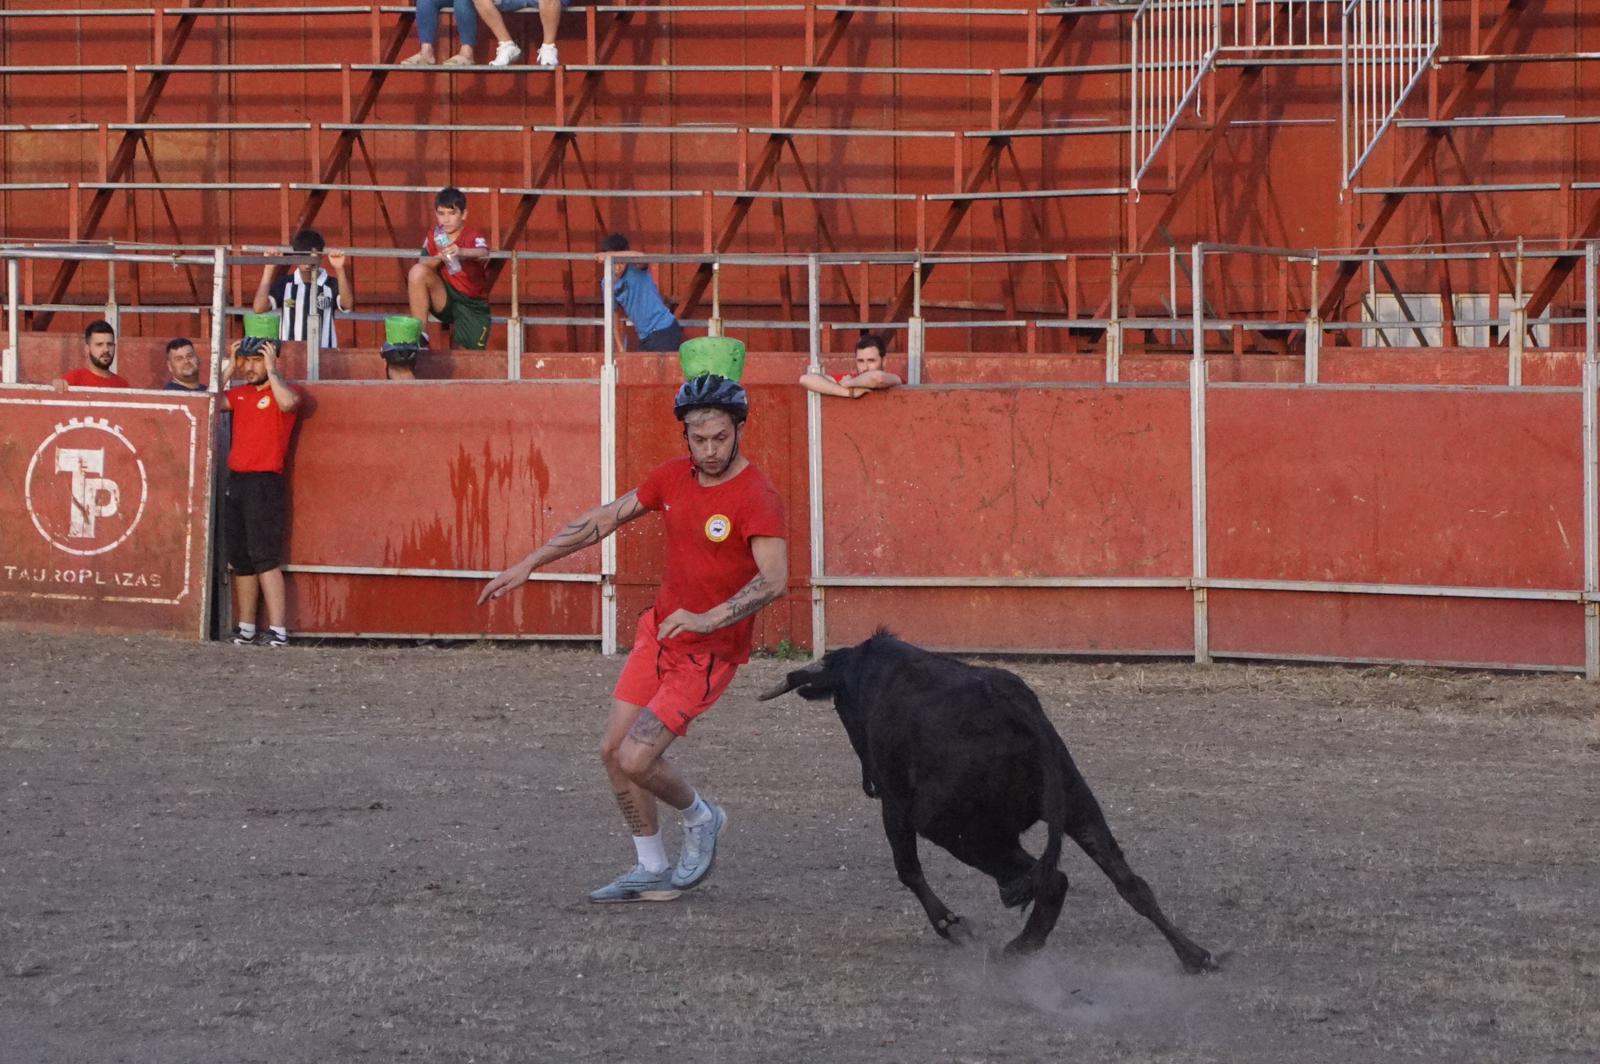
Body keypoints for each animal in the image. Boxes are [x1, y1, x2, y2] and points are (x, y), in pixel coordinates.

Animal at [755, 630, 1216, 972]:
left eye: (841, 705)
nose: (867, 784)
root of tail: (1016, 710)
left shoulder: (896, 806)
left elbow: (908, 869)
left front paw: (951, 925)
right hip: (1077, 804)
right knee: (1127, 882)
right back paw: (1194, 955)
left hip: (958, 829)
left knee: (1049, 878)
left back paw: (1017, 947)